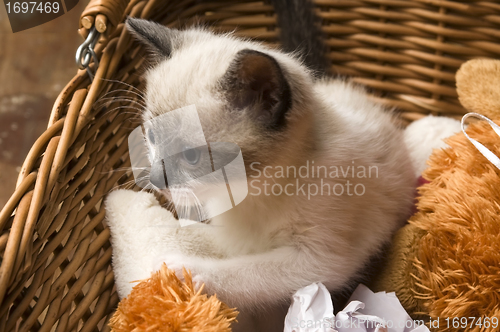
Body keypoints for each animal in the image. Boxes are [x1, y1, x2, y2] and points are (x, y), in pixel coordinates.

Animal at [106, 18, 418, 332]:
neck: (254, 190)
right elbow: (207, 240)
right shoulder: (231, 236)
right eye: (152, 137)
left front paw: (182, 273)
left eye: (192, 156)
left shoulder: (320, 260)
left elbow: (250, 272)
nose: (156, 180)